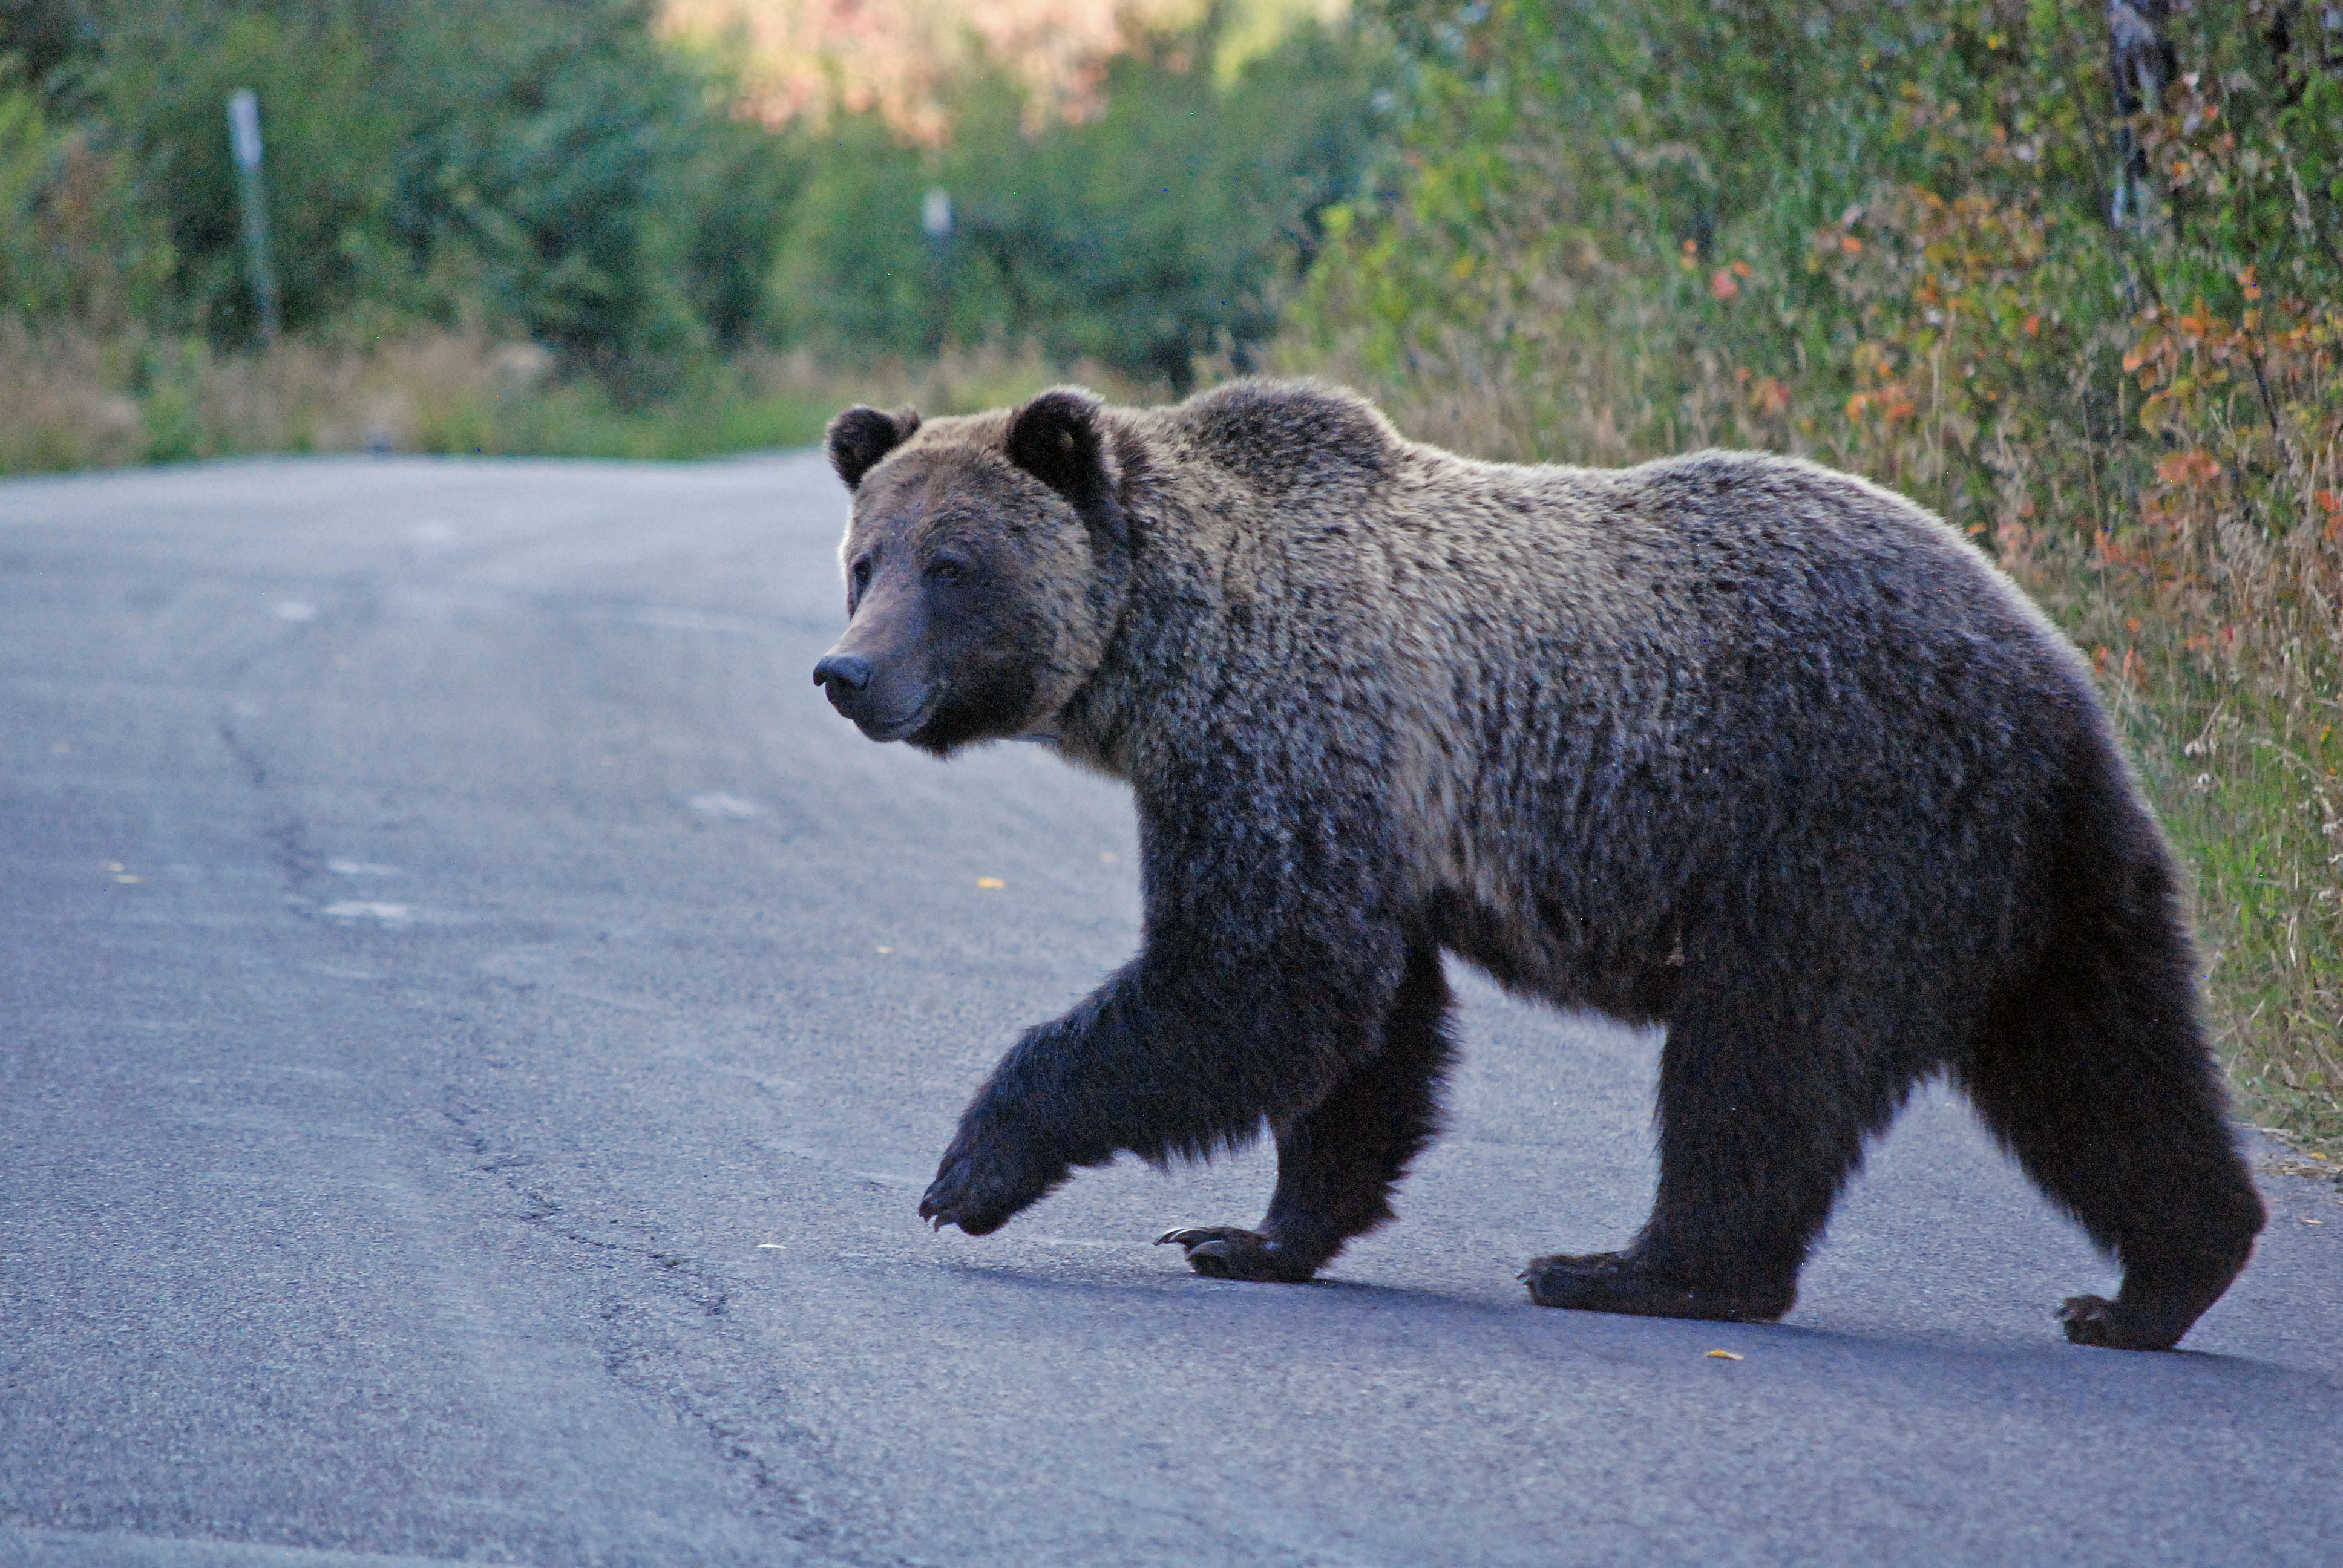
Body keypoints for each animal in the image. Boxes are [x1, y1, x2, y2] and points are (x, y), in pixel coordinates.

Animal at [815, 379, 2258, 1350]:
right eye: (862, 562)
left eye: (953, 565)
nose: (847, 674)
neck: (1167, 646)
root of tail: (2058, 677)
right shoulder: (1371, 812)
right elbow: (1364, 1037)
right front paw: (1253, 1233)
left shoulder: (1290, 731)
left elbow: (1257, 974)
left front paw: (972, 1170)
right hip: (2038, 873)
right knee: (2101, 1062)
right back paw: (2156, 1280)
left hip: (1841, 824)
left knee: (1764, 1060)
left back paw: (1636, 1269)